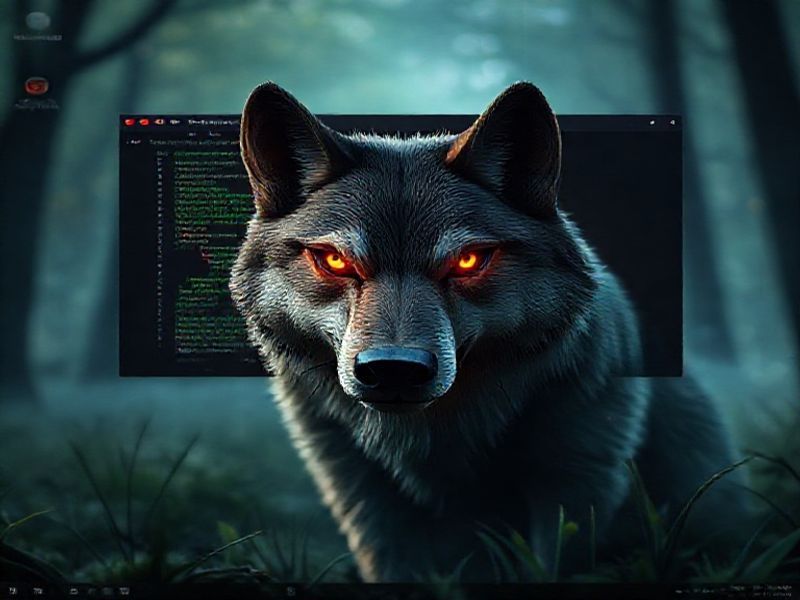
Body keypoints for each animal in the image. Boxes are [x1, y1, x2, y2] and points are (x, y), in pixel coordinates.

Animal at [229, 81, 745, 582]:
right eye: (336, 261)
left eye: (469, 261)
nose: (394, 370)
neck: (433, 437)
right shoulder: (358, 491)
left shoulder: (578, 475)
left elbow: (554, 566)